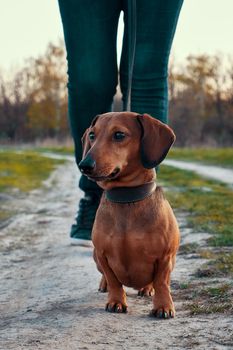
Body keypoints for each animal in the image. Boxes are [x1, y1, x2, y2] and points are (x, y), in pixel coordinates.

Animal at [79, 113, 179, 320]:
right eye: (92, 135)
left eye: (119, 135)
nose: (84, 165)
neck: (126, 198)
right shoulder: (102, 255)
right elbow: (114, 280)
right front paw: (116, 301)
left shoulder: (165, 257)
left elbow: (161, 282)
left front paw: (163, 306)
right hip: (95, 257)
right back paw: (104, 285)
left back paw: (147, 288)